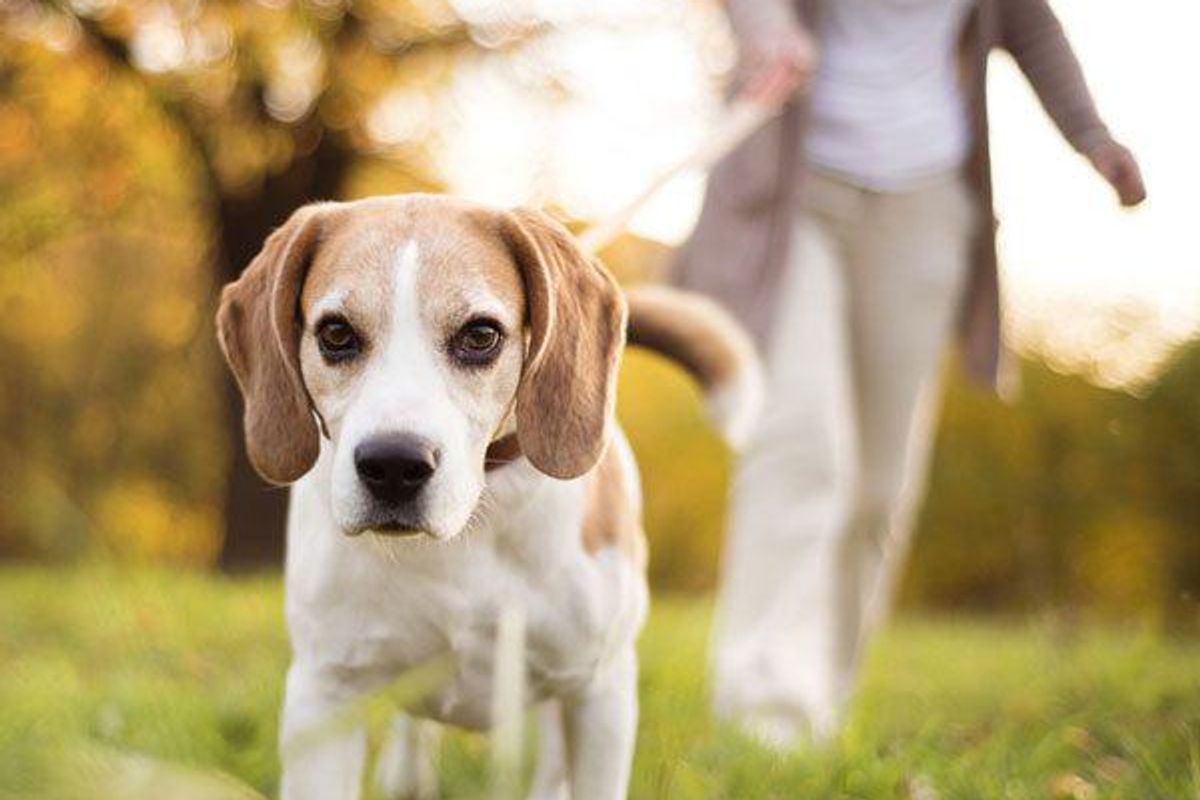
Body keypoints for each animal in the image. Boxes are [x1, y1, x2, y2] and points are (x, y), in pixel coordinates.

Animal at [216, 195, 758, 800]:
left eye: (480, 336)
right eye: (335, 333)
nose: (393, 466)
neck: (471, 526)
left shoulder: (600, 693)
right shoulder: (324, 693)